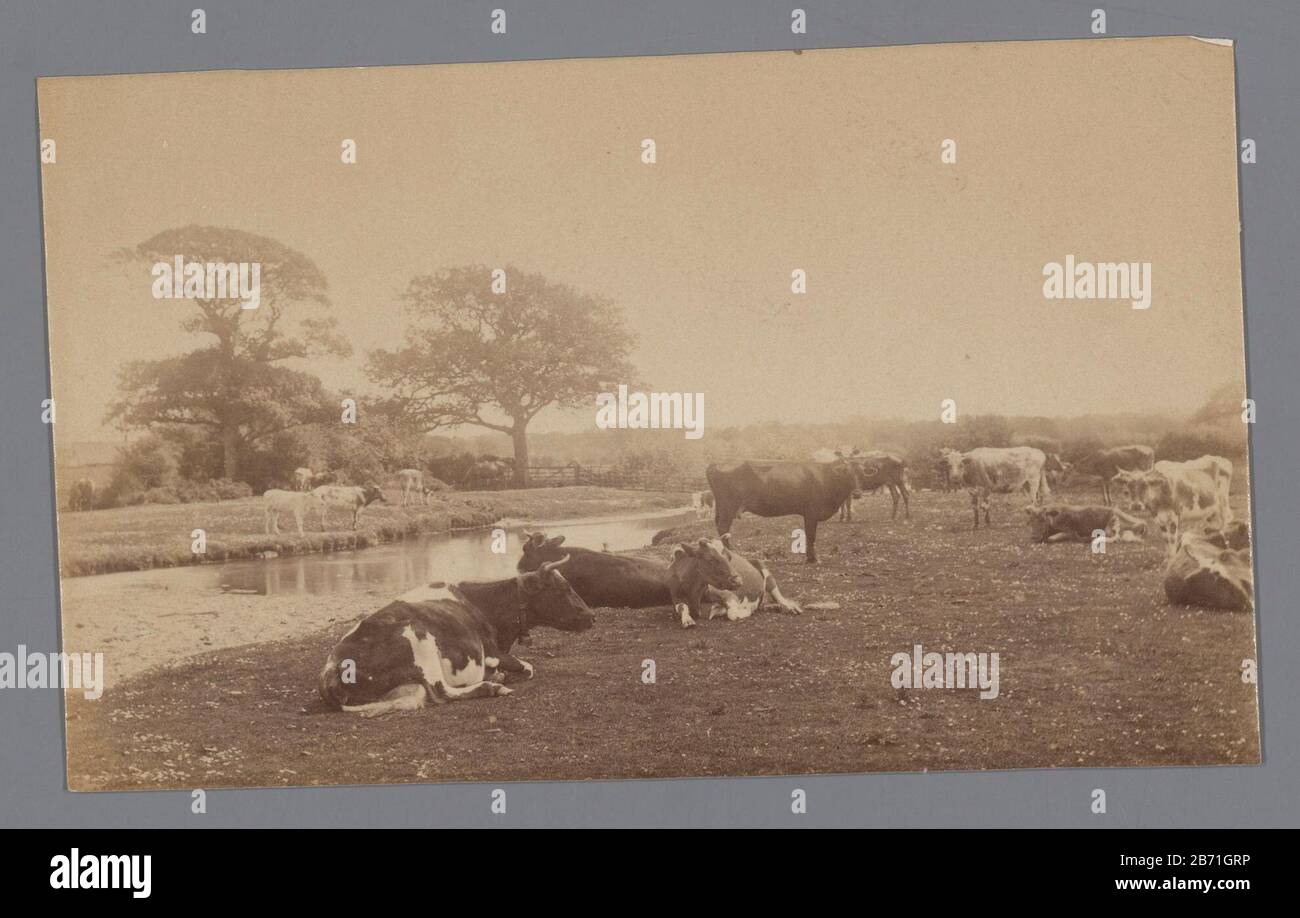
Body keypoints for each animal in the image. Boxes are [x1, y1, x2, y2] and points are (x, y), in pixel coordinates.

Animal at [319, 556, 595, 717]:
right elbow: (527, 667)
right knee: (441, 692)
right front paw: (499, 676)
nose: (592, 616)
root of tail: (330, 669)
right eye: (564, 588)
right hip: (419, 638)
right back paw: (492, 687)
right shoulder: (492, 651)